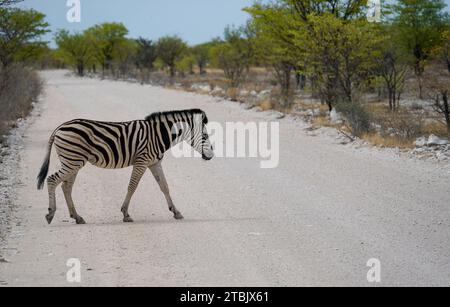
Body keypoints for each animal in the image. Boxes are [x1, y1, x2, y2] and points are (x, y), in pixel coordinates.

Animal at [36, 109, 215, 225]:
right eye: (205, 135)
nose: (211, 156)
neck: (158, 135)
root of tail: (59, 127)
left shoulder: (154, 163)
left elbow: (164, 186)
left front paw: (176, 212)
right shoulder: (141, 161)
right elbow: (132, 186)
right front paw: (126, 214)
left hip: (73, 162)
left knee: (66, 187)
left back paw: (77, 217)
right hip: (72, 161)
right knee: (52, 180)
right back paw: (51, 213)